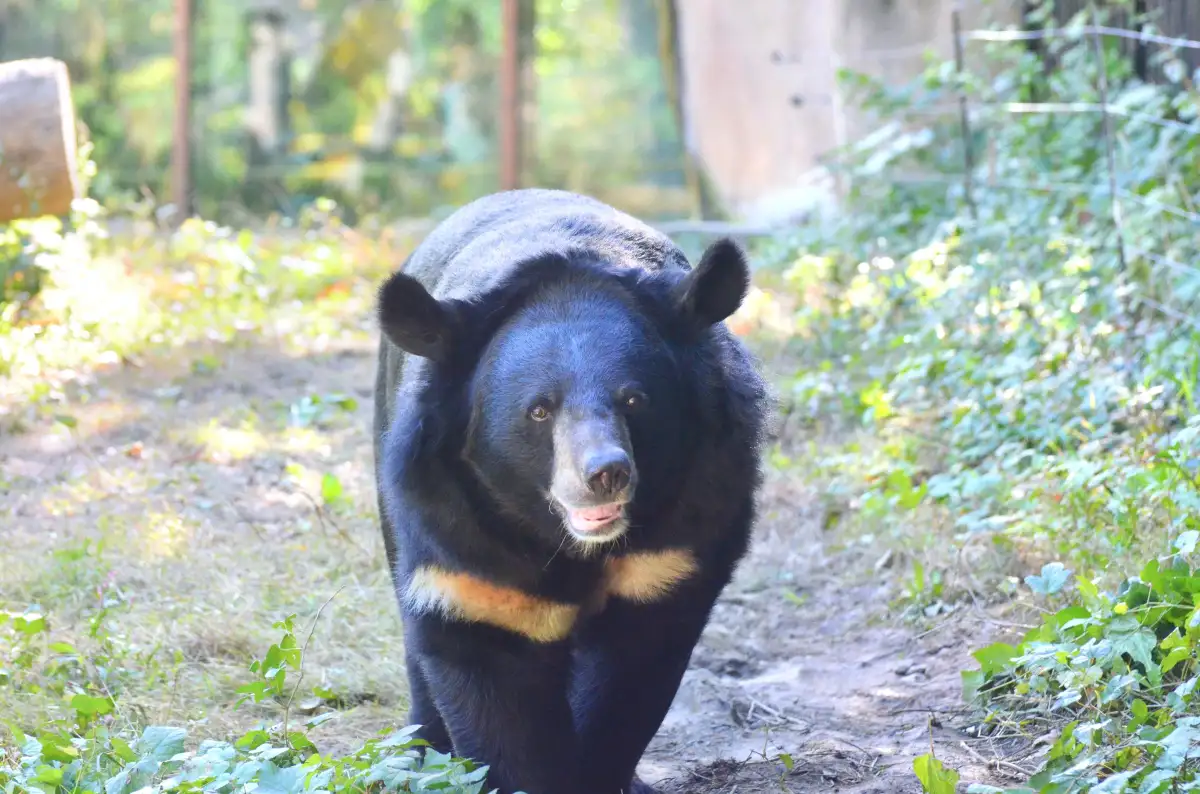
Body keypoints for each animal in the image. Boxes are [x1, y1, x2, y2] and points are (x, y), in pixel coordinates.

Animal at [372, 188, 768, 794]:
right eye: (539, 410)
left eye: (634, 400)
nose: (605, 474)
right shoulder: (465, 542)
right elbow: (493, 673)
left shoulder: (682, 529)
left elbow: (629, 674)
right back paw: (419, 752)